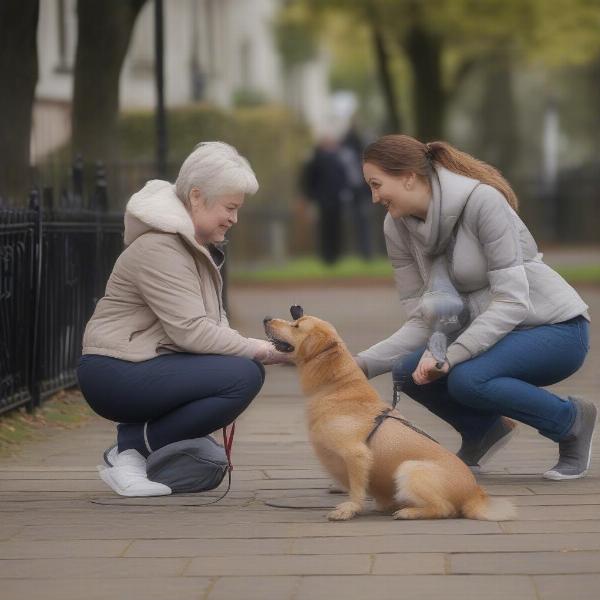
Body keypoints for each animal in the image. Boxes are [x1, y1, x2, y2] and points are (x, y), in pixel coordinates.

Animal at [264, 314, 516, 520]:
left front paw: (349, 509)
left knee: (444, 508)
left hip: (409, 468)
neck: (338, 387)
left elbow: (356, 489)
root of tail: (475, 493)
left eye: (296, 325)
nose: (267, 319)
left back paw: (408, 512)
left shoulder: (357, 453)